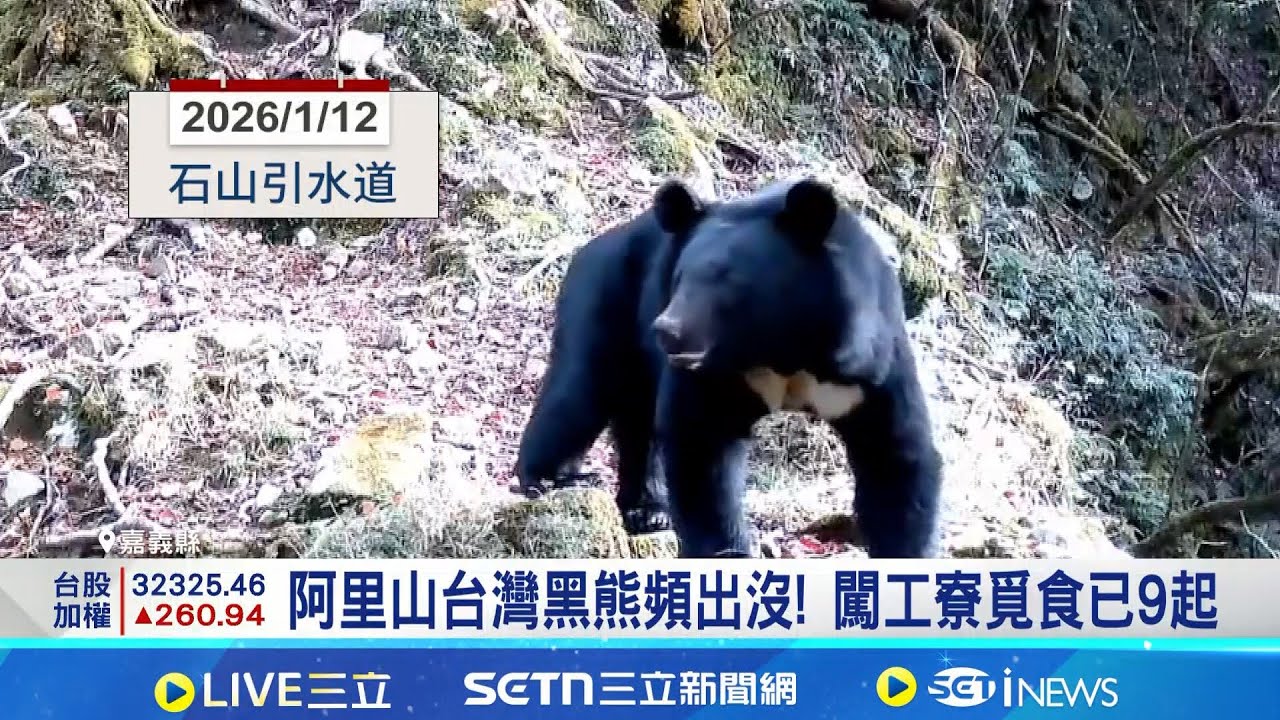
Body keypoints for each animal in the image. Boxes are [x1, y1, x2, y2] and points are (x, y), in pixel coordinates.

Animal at [515, 176, 944, 558]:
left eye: (730, 280)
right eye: (679, 277)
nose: (667, 331)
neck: (785, 349)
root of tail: (598, 241)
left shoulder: (868, 363)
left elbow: (894, 455)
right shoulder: (714, 376)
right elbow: (702, 445)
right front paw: (726, 551)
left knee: (637, 419)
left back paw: (649, 510)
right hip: (607, 298)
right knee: (581, 392)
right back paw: (546, 479)